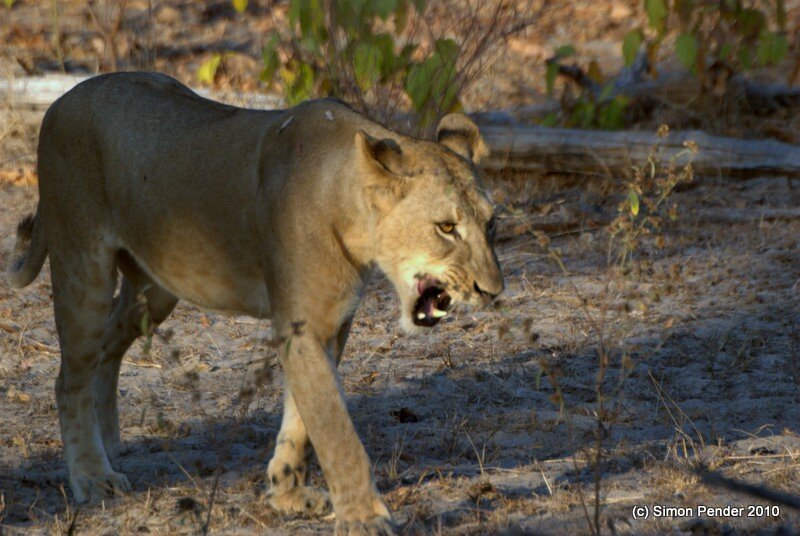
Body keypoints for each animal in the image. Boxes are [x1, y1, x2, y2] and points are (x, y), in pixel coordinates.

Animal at [6, 72, 503, 535]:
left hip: (156, 288)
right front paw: (365, 517)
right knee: (70, 375)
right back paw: (92, 477)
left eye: (491, 224)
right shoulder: (300, 324)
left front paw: (287, 493)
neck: (349, 206)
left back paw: (108, 447)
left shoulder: (331, 323)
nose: (492, 291)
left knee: (106, 351)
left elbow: (302, 421)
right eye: (446, 227)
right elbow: (335, 428)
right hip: (81, 262)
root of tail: (62, 100)